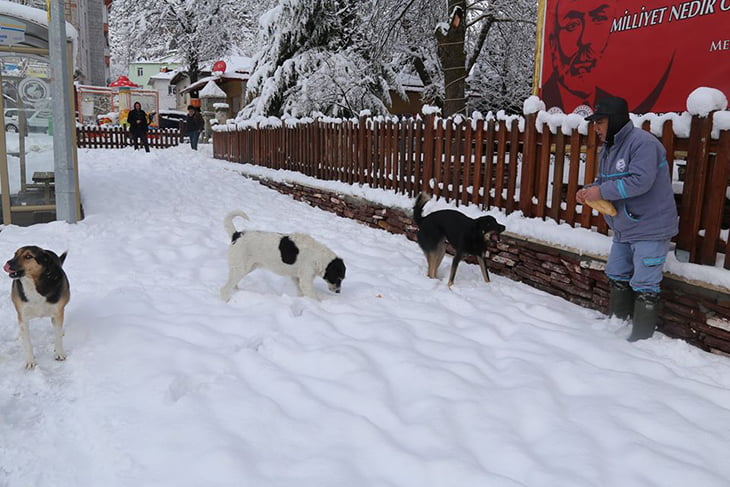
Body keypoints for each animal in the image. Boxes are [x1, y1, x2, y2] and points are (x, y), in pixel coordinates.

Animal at [218, 211, 346, 302]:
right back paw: (226, 301)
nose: (338, 292)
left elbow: (301, 292)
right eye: (338, 278)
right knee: (224, 289)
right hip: (240, 269)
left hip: (243, 268)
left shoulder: (296, 278)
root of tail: (236, 235)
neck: (319, 257)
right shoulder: (306, 281)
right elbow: (313, 297)